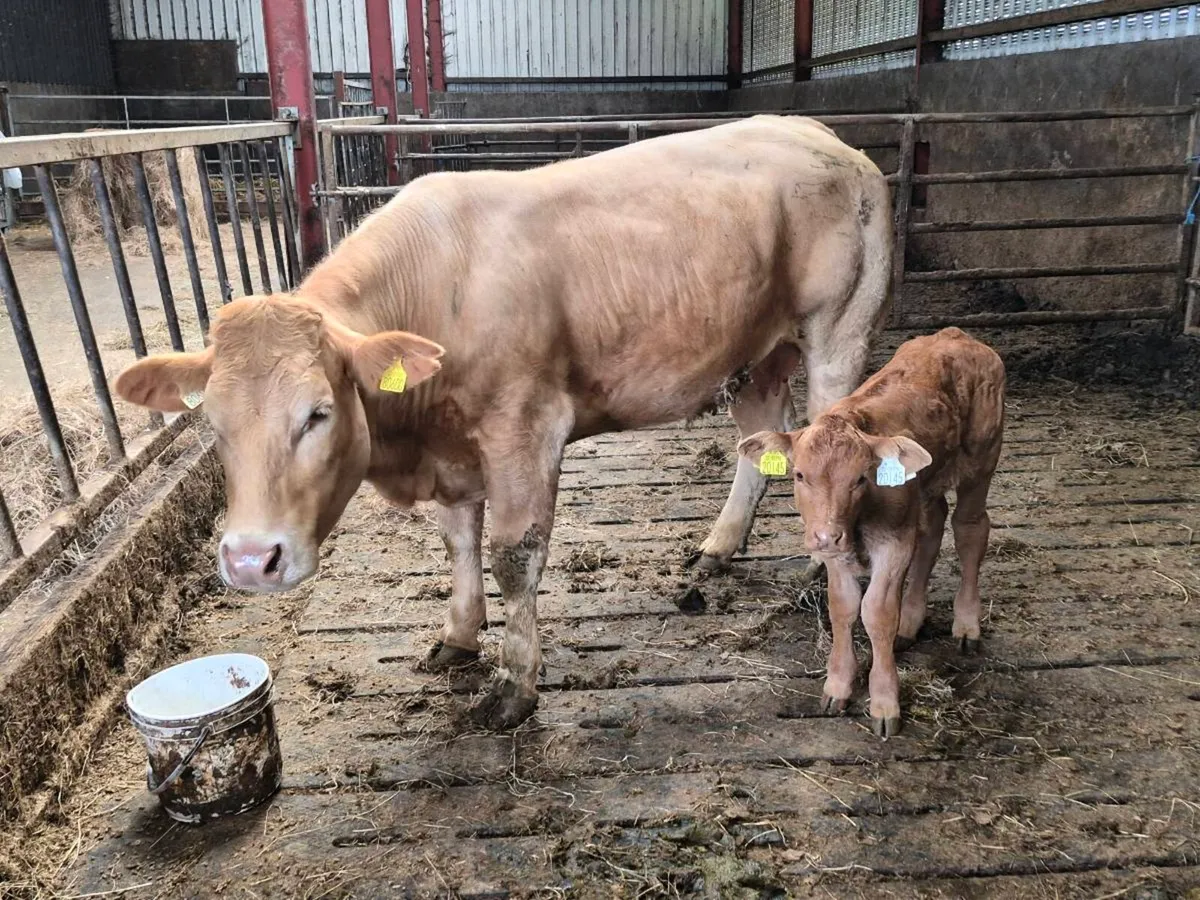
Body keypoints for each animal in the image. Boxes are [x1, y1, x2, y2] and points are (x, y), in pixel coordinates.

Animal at [113, 114, 893, 730]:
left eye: (318, 413)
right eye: (214, 424)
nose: (251, 561)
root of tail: (820, 135)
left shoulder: (526, 427)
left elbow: (513, 556)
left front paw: (515, 684)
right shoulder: (454, 451)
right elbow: (458, 540)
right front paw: (459, 635)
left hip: (838, 331)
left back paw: (819, 571)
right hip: (756, 352)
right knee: (759, 443)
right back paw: (718, 547)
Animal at [737, 327, 1006, 737]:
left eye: (861, 478)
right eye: (799, 475)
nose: (825, 536)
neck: (860, 521)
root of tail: (957, 336)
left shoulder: (893, 543)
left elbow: (876, 612)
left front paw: (884, 702)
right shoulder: (839, 550)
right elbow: (843, 606)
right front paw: (837, 685)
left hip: (982, 457)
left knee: (970, 529)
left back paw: (966, 625)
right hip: (925, 485)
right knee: (933, 527)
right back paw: (910, 622)